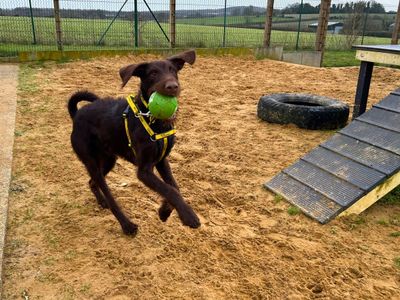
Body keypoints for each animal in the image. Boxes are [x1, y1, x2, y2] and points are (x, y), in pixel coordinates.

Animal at [69, 51, 202, 234]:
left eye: (173, 70)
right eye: (152, 73)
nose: (173, 86)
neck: (154, 121)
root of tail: (76, 116)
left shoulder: (162, 161)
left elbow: (174, 187)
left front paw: (164, 211)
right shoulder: (144, 171)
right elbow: (170, 190)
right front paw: (189, 216)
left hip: (109, 159)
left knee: (92, 182)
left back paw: (101, 201)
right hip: (91, 161)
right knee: (109, 195)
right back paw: (127, 225)